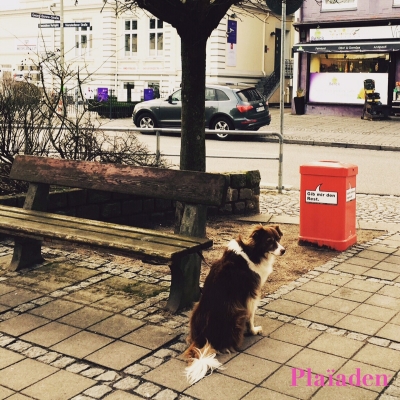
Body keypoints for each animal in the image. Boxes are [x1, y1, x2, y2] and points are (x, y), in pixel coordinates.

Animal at [184, 225, 284, 384]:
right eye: (269, 241)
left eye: (279, 239)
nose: (283, 250)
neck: (251, 253)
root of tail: (203, 338)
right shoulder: (251, 296)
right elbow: (251, 317)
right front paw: (253, 331)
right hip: (237, 312)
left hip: (195, 309)